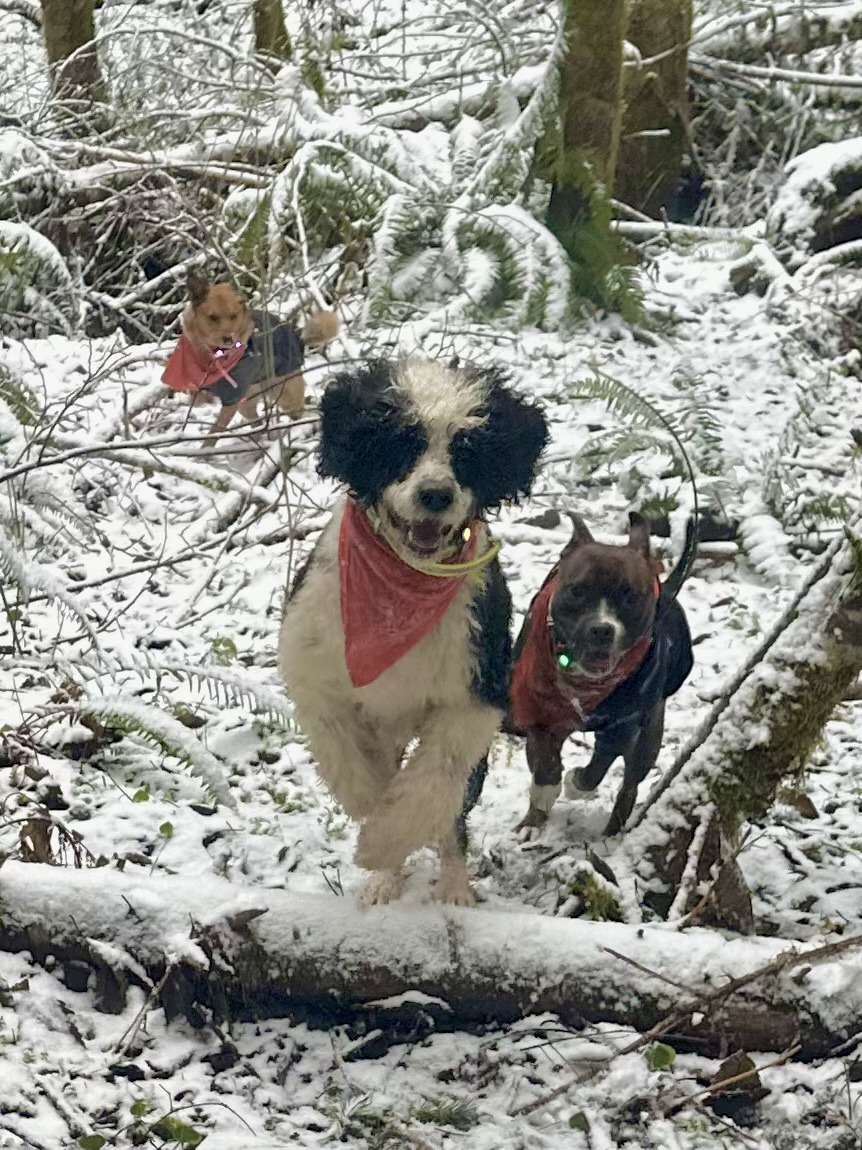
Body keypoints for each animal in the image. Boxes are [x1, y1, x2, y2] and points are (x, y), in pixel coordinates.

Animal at [162, 271, 340, 437]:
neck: (213, 355)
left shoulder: (231, 400)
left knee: (298, 412)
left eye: (233, 316)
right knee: (257, 424)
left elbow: (214, 434)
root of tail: (297, 336)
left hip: (286, 396)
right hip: (247, 404)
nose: (228, 338)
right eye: (212, 317)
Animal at [281, 358, 547, 906]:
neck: (396, 596)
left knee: (452, 816)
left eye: (468, 450)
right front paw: (373, 820)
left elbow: (433, 781)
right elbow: (350, 758)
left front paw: (382, 844)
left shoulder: (475, 689)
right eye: (400, 440)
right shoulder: (317, 667)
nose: (435, 495)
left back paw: (452, 887)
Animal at [505, 512, 694, 837]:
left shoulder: (623, 725)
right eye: (577, 591)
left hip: (649, 736)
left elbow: (599, 764)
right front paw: (535, 815)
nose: (602, 629)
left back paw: (613, 831)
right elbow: (545, 763)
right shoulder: (540, 711)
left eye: (630, 597)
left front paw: (576, 783)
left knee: (630, 783)